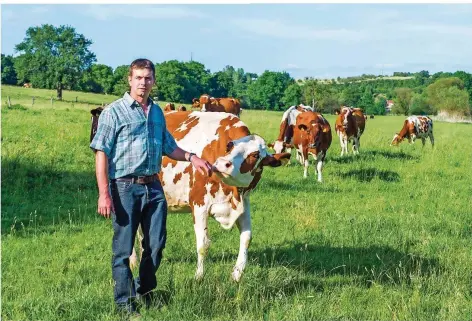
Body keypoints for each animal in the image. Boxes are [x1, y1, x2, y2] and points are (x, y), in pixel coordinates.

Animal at [86, 110, 290, 280]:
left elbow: (247, 239)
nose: (222, 164)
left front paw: (237, 275)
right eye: (230, 145)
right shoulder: (199, 204)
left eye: (255, 155)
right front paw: (199, 276)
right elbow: (203, 244)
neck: (231, 192)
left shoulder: (243, 203)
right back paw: (133, 260)